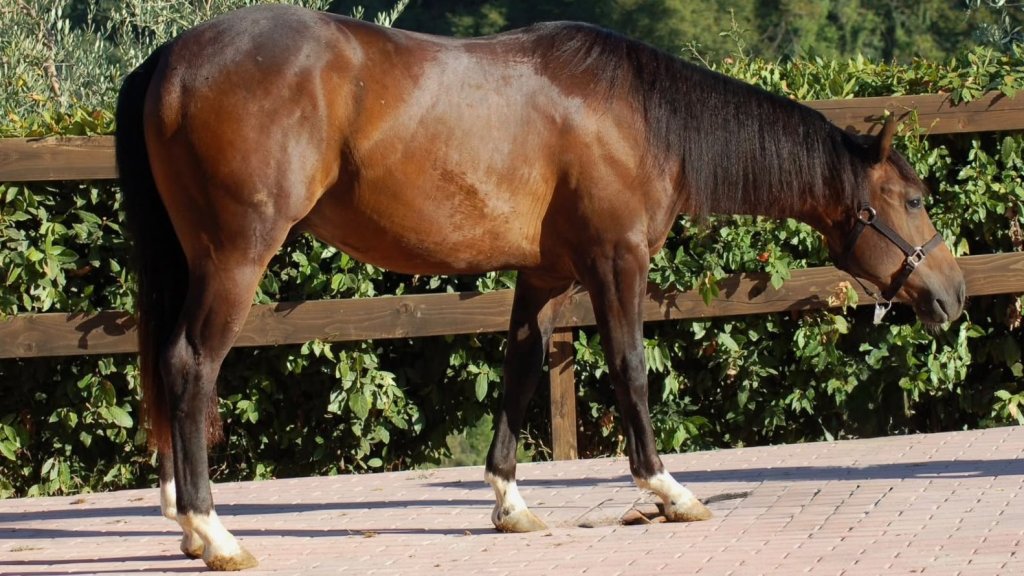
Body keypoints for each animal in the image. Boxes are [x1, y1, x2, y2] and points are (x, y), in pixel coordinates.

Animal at [114, 4, 965, 571]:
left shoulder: (547, 274)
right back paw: (213, 532)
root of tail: (172, 58)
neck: (639, 117)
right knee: (191, 365)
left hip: (193, 259)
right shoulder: (616, 261)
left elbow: (521, 373)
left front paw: (509, 502)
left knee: (165, 365)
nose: (951, 294)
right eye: (912, 199)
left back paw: (180, 518)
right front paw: (668, 489)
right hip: (234, 257)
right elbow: (629, 371)